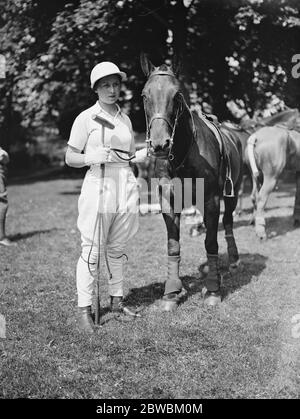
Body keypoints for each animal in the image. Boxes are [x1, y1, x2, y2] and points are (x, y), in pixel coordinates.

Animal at [141, 55, 244, 308]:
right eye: (144, 95)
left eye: (177, 95)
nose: (160, 144)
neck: (182, 155)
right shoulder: (168, 201)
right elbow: (173, 244)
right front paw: (172, 292)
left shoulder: (211, 199)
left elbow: (211, 242)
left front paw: (214, 289)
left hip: (233, 192)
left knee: (227, 222)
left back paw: (233, 260)